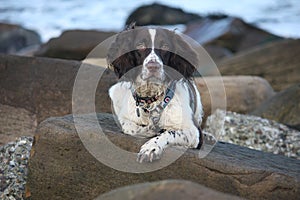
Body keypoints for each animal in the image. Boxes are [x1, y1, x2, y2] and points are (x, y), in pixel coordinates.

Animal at [106, 25, 203, 162]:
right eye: (140, 45)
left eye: (165, 47)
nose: (153, 66)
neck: (151, 100)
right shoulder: (125, 118)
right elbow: (129, 127)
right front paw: (149, 130)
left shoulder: (194, 132)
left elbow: (169, 132)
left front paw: (151, 148)